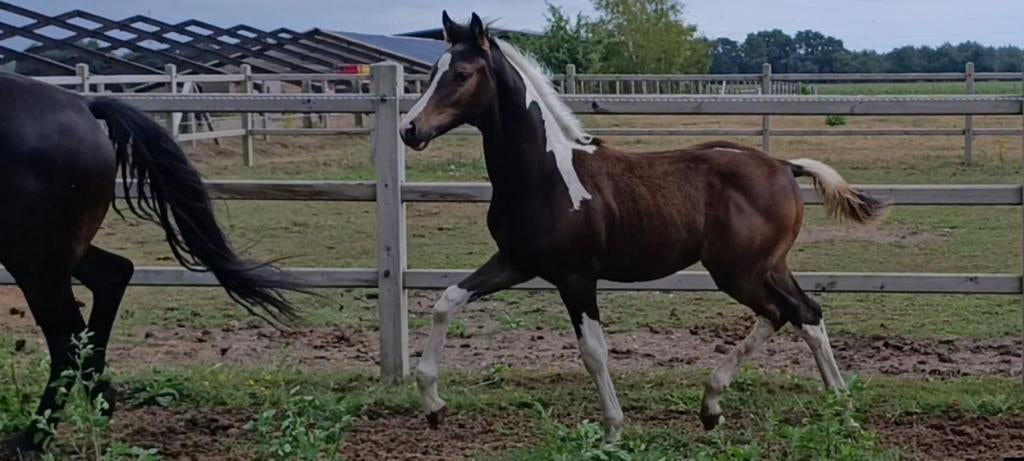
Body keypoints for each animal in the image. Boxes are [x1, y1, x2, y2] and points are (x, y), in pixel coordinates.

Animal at [0, 73, 305, 456]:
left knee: (67, 341)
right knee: (112, 276)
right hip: (57, 254)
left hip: (36, 260)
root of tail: (82, 104)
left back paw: (32, 440)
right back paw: (101, 398)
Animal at [399, 12, 889, 443]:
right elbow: (446, 301)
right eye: (432, 72)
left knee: (783, 313)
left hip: (739, 271)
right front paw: (434, 405)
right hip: (768, 267)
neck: (545, 174)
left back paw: (720, 404)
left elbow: (593, 351)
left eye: (461, 74)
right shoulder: (516, 262)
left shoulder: (576, 277)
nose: (409, 128)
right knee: (806, 314)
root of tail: (784, 166)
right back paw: (834, 410)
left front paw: (613, 429)